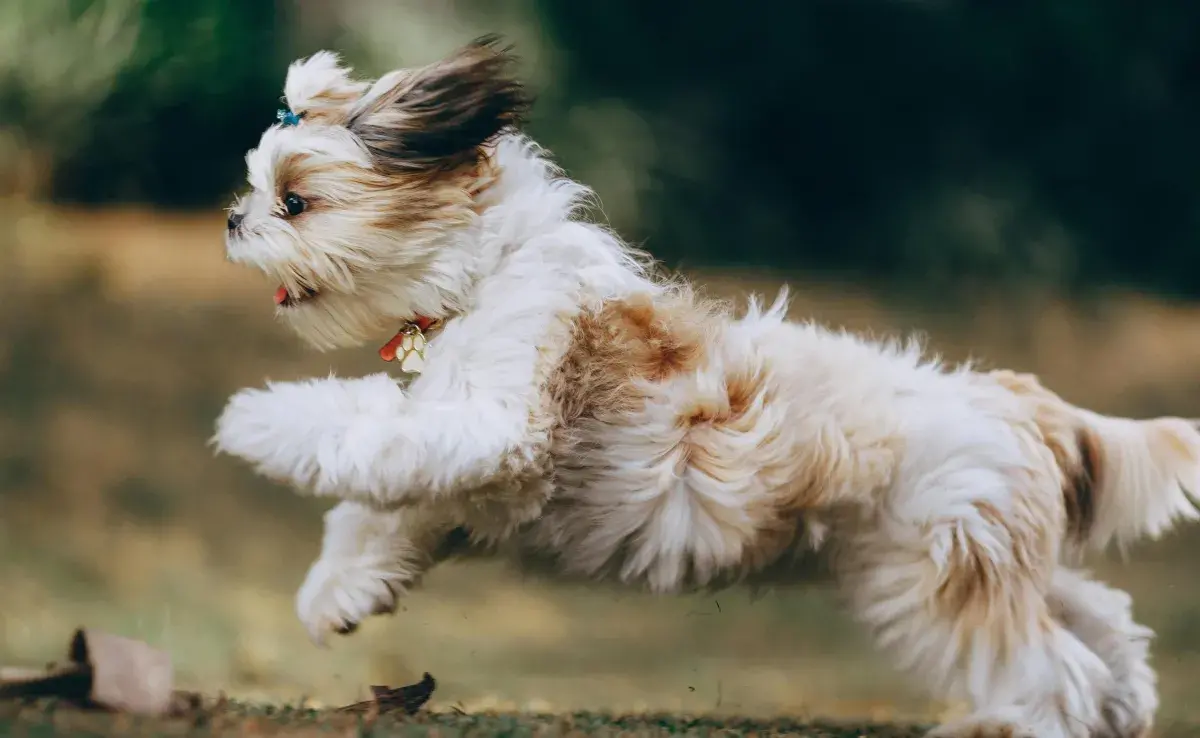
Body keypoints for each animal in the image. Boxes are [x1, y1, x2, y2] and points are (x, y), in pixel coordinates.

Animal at [216, 36, 1200, 738]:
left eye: (295, 201)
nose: (233, 219)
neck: (485, 274)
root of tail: (1013, 399)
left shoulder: (494, 423)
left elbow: (360, 427)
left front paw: (253, 419)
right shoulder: (466, 475)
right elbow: (374, 510)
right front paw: (338, 595)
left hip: (939, 576)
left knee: (1049, 668)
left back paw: (1020, 721)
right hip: (976, 553)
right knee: (1099, 617)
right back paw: (1129, 701)